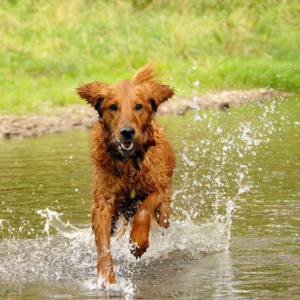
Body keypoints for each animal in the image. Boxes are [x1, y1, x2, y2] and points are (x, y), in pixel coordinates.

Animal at [77, 65, 175, 286]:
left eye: (138, 106)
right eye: (113, 106)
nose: (127, 132)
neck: (128, 161)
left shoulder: (159, 188)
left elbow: (144, 209)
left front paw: (138, 242)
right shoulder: (103, 202)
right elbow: (103, 245)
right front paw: (106, 278)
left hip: (164, 212)